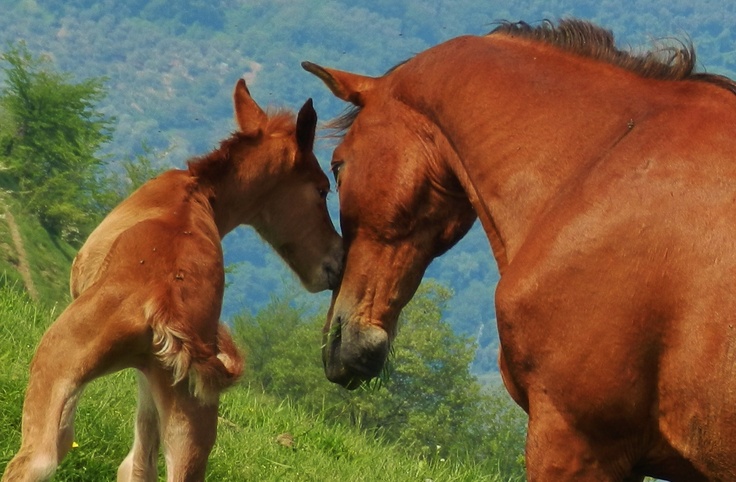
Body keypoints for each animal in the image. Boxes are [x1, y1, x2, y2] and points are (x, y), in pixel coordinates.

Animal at [2, 78, 343, 482]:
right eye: (322, 188)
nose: (338, 259)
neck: (198, 192)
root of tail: (164, 301)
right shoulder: (153, 377)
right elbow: (138, 462)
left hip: (55, 368)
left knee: (36, 459)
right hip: (192, 415)